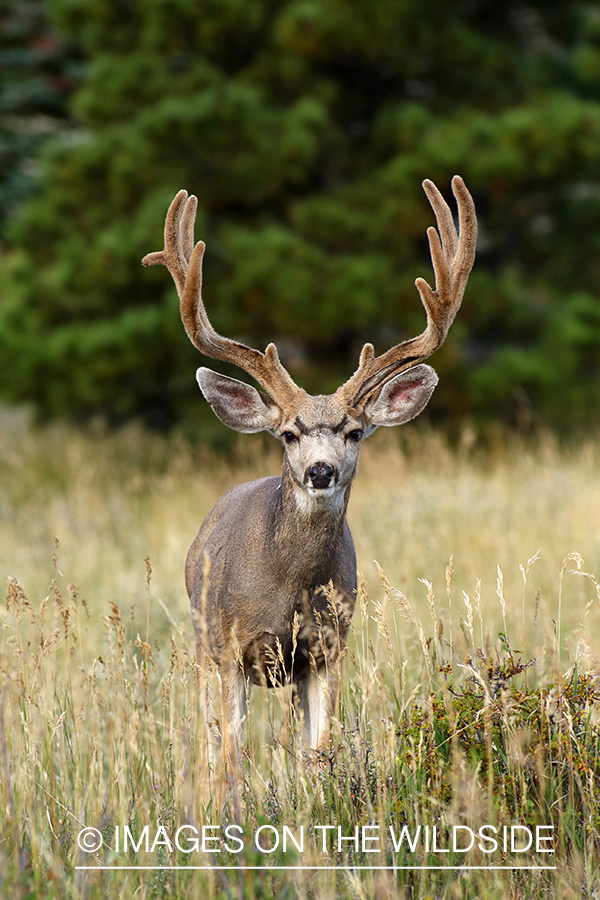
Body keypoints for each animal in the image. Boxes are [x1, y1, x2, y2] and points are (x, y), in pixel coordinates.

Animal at [142, 176, 477, 771]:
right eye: (288, 434)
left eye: (355, 432)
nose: (321, 470)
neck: (288, 589)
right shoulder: (232, 647)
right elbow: (231, 756)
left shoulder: (327, 649)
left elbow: (320, 750)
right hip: (202, 641)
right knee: (211, 743)